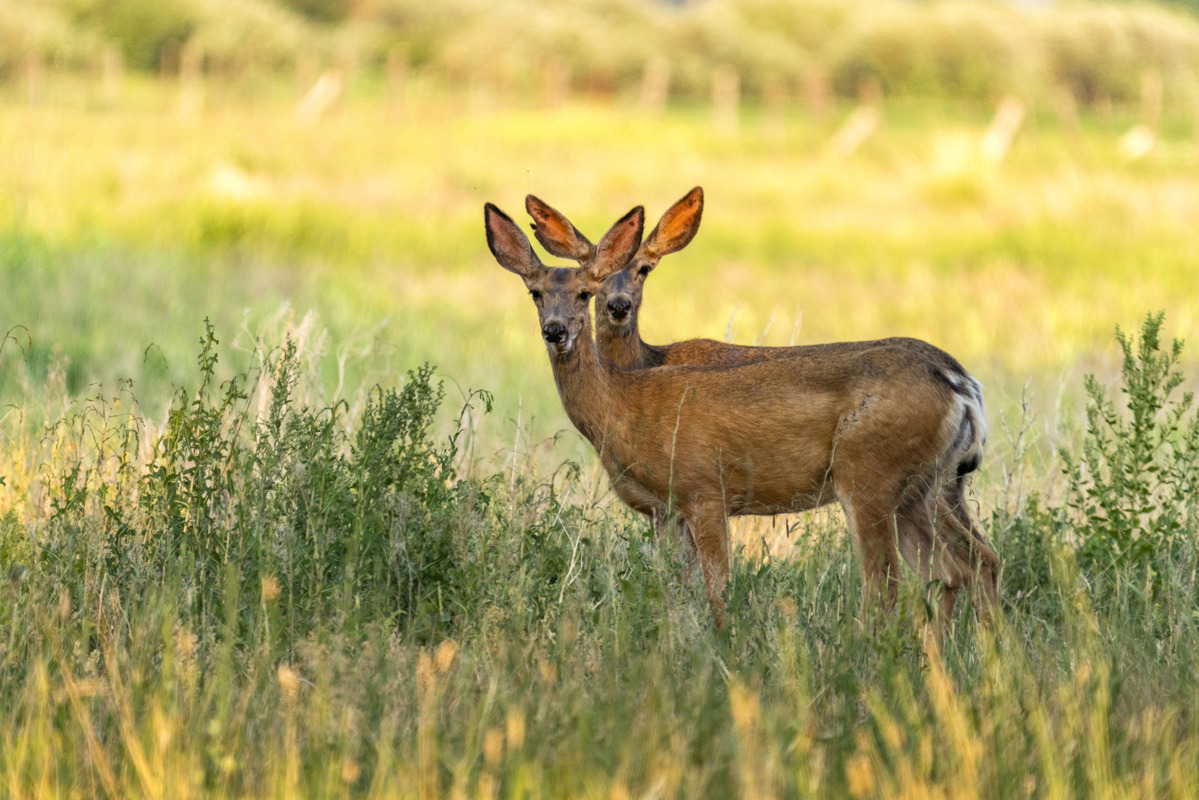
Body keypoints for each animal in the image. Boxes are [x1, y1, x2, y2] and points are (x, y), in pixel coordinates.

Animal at [484, 200, 999, 634]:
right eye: (535, 293)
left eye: (582, 293)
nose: (555, 331)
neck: (625, 402)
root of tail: (960, 383)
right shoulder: (665, 511)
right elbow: (672, 592)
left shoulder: (704, 488)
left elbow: (718, 590)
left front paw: (722, 649)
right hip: (929, 485)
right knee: (969, 565)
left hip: (869, 472)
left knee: (889, 583)